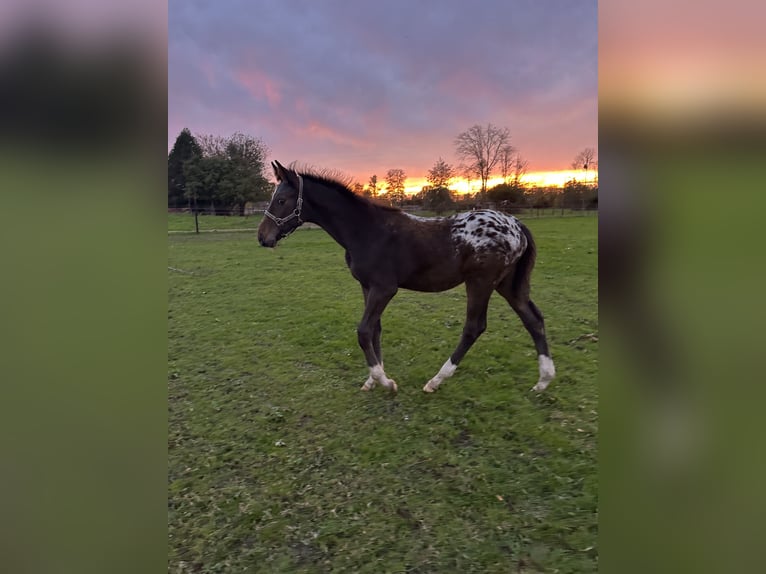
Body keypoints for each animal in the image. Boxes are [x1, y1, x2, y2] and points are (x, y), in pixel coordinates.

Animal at [257, 161, 555, 393]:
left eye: (281, 200)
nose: (262, 237)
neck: (367, 230)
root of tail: (516, 224)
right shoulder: (367, 287)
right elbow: (374, 330)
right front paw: (372, 380)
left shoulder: (384, 288)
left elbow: (363, 331)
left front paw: (385, 382)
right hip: (507, 284)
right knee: (533, 319)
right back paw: (543, 380)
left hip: (481, 282)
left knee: (474, 327)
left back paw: (435, 381)